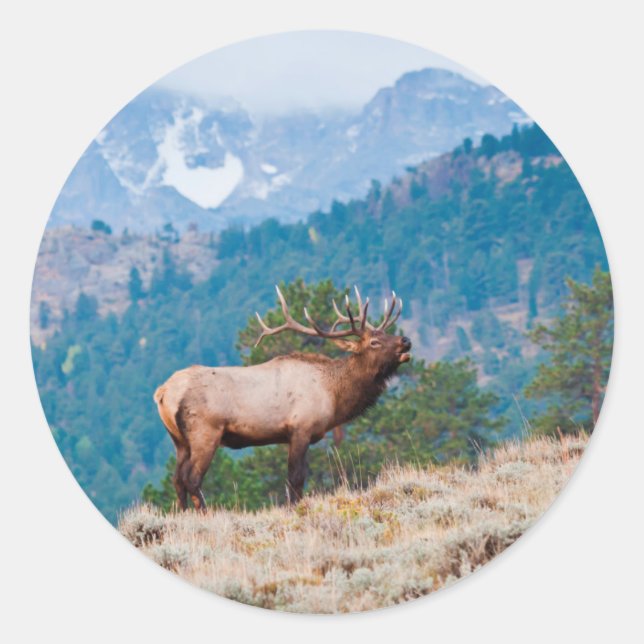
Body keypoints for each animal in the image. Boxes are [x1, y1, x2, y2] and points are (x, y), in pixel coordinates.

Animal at [153, 286, 411, 511]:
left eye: (385, 333)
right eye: (374, 342)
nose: (406, 341)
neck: (333, 395)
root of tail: (163, 392)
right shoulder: (301, 428)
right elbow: (296, 478)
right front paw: (295, 509)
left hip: (179, 440)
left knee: (177, 479)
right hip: (205, 432)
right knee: (192, 478)